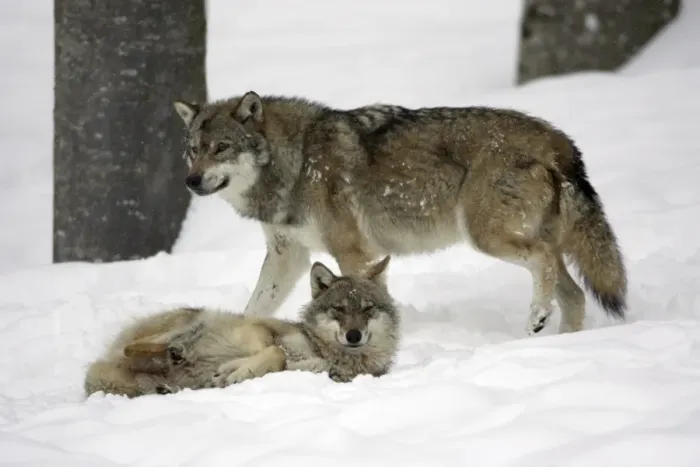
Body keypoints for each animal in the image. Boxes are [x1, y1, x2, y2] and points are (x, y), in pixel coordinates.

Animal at [84, 256, 399, 398]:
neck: (328, 353)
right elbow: (276, 351)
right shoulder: (260, 330)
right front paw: (234, 370)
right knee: (134, 348)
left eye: (367, 309)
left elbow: (283, 360)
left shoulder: (321, 370)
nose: (354, 335)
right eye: (340, 309)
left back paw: (167, 380)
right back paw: (173, 353)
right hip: (199, 317)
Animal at [172, 92, 627, 335]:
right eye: (193, 150)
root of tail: (557, 139)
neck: (297, 162)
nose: (191, 181)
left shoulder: (352, 253)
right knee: (575, 294)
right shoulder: (289, 257)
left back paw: (537, 317)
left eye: (222, 148)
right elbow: (254, 307)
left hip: (488, 237)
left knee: (545, 263)